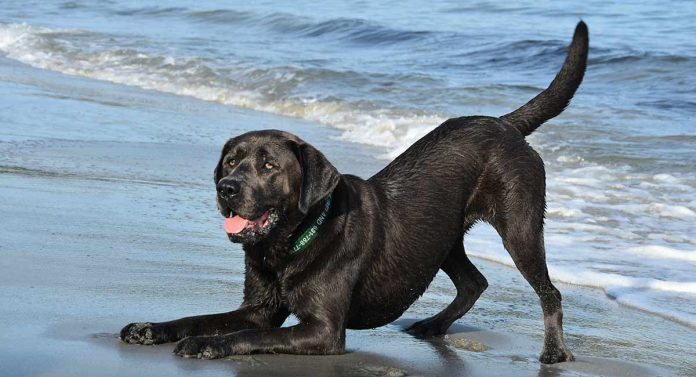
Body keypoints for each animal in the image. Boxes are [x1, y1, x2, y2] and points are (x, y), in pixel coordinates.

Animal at [121, 22, 588, 362]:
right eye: (231, 162)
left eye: (269, 166)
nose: (227, 188)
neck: (289, 244)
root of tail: (505, 124)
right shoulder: (258, 309)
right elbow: (201, 318)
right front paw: (152, 328)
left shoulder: (324, 330)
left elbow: (242, 336)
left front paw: (207, 345)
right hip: (441, 238)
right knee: (474, 281)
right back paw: (433, 326)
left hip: (520, 227)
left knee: (549, 292)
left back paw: (554, 352)